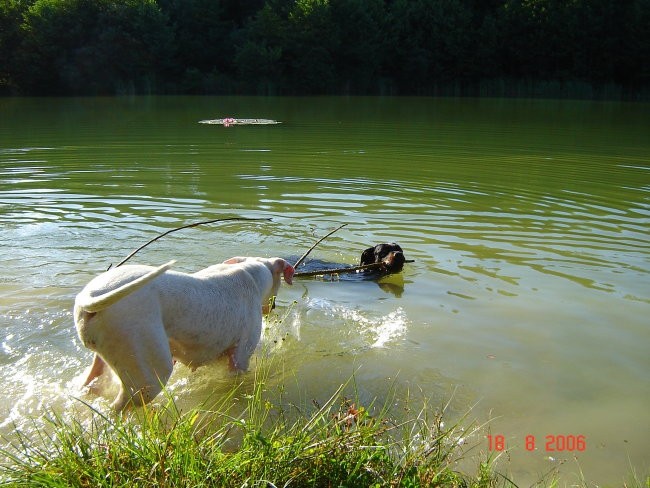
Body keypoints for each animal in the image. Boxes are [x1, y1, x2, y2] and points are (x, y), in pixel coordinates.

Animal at [73, 258, 294, 410]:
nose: (272, 308)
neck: (251, 272)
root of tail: (90, 297)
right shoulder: (240, 359)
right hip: (150, 375)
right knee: (117, 409)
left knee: (90, 386)